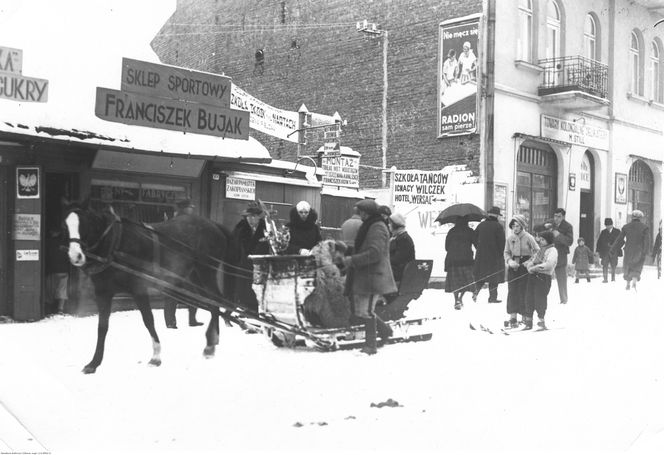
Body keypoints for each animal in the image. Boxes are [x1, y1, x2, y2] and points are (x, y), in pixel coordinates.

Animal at [63, 201, 239, 376]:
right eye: (65, 225)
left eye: (85, 223)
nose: (75, 256)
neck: (116, 244)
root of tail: (213, 224)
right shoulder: (103, 293)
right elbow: (102, 327)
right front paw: (94, 363)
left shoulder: (138, 289)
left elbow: (148, 320)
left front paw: (156, 357)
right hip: (195, 276)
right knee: (212, 303)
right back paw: (213, 340)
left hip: (206, 273)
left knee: (215, 303)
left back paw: (210, 345)